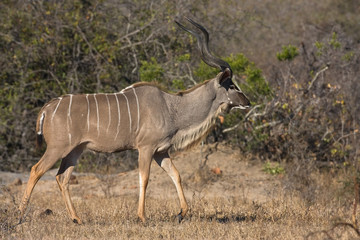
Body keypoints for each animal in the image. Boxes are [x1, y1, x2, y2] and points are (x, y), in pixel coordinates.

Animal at [19, 18, 250, 223]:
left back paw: (77, 219)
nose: (247, 102)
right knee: (36, 170)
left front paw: (181, 214)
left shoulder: (161, 152)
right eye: (232, 85)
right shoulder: (146, 148)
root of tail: (47, 108)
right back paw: (20, 216)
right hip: (57, 148)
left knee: (62, 177)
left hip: (75, 150)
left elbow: (176, 175)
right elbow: (144, 179)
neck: (171, 107)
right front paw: (142, 217)